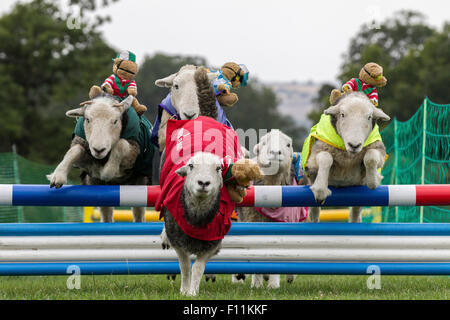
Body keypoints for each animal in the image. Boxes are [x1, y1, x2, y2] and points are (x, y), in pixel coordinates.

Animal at [236, 129, 306, 288]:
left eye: (288, 144)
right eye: (263, 142)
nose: (275, 152)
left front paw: (273, 285)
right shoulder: (253, 221)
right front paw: (257, 284)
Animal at [304, 91, 392, 222]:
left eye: (369, 117)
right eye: (342, 114)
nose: (354, 145)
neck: (348, 155)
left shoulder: (378, 149)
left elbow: (371, 158)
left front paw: (373, 179)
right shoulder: (313, 158)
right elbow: (326, 158)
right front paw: (320, 190)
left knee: (355, 213)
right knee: (314, 212)